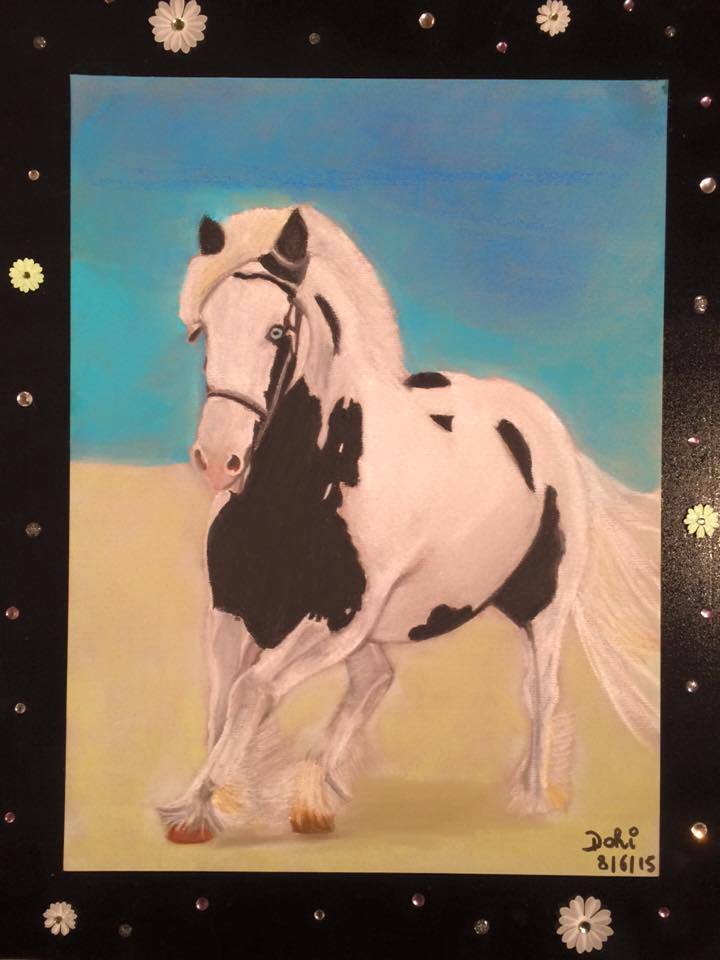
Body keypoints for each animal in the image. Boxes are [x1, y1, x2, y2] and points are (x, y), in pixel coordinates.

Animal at [158, 204, 660, 843]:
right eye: (204, 331)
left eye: (277, 332)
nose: (218, 458)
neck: (294, 494)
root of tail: (549, 429)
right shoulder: (234, 610)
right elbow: (223, 703)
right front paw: (223, 802)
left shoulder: (336, 620)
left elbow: (252, 692)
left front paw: (195, 810)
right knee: (376, 679)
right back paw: (318, 798)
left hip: (543, 606)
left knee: (539, 693)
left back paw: (531, 799)